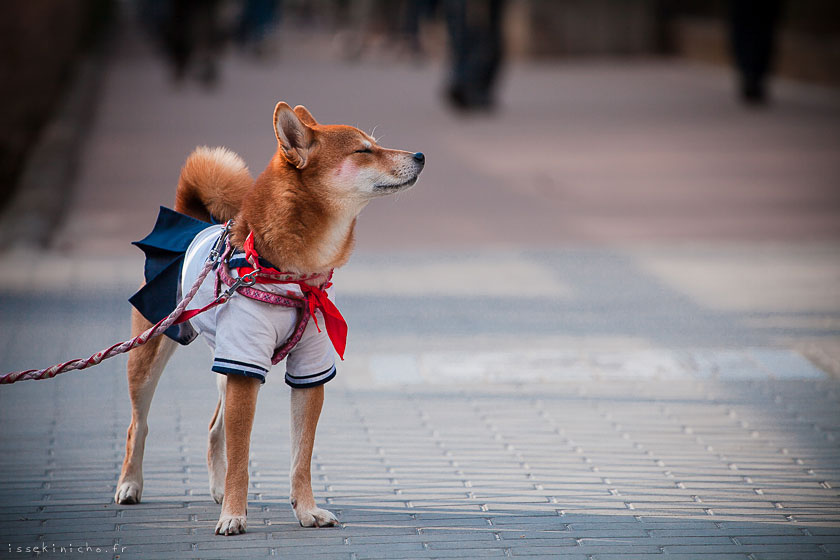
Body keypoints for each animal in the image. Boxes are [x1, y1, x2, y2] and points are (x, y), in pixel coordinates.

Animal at [115, 100, 424, 532]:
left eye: (375, 144)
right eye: (364, 151)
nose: (420, 155)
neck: (293, 276)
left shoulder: (306, 369)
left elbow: (301, 457)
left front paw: (307, 510)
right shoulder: (245, 367)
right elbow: (241, 457)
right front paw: (234, 515)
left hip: (226, 363)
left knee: (213, 429)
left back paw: (216, 490)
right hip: (154, 354)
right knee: (137, 425)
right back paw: (130, 484)